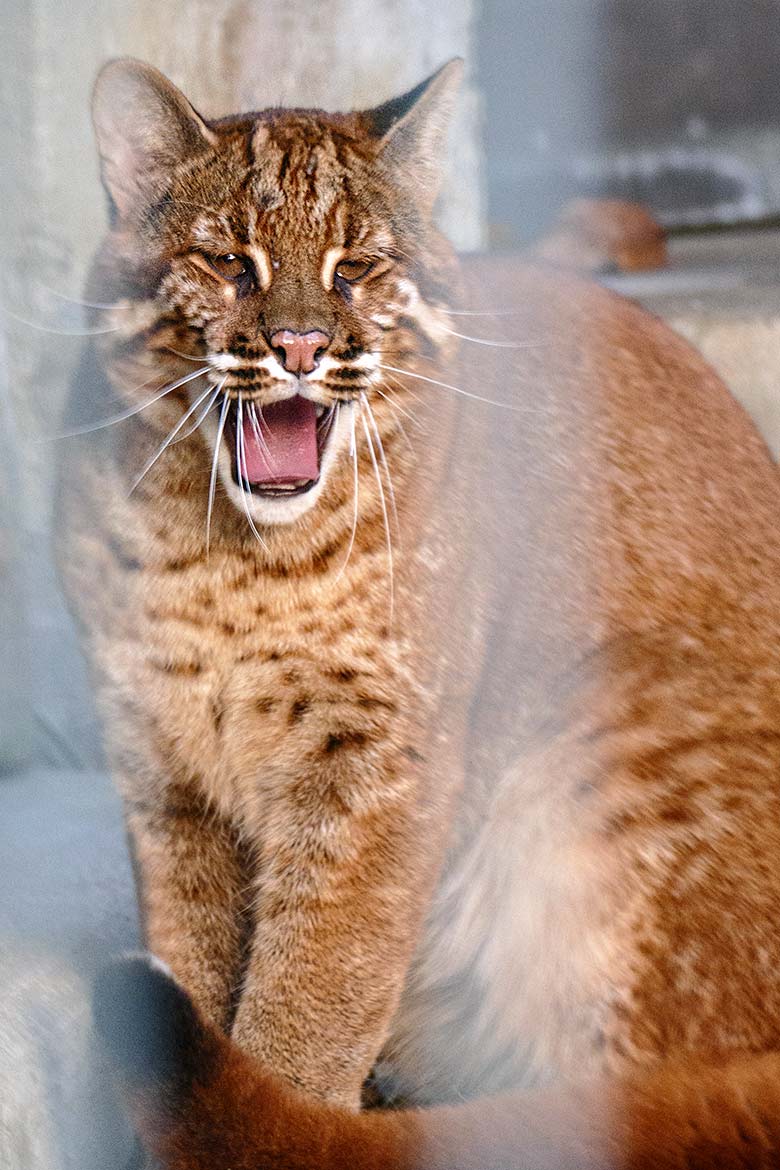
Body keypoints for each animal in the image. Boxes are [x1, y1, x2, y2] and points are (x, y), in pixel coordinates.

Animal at [57, 57, 780, 1170]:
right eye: (228, 263)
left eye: (356, 269)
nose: (301, 347)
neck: (224, 554)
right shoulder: (160, 766)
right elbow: (189, 955)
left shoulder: (375, 762)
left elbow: (315, 988)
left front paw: (282, 1103)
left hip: (601, 732)